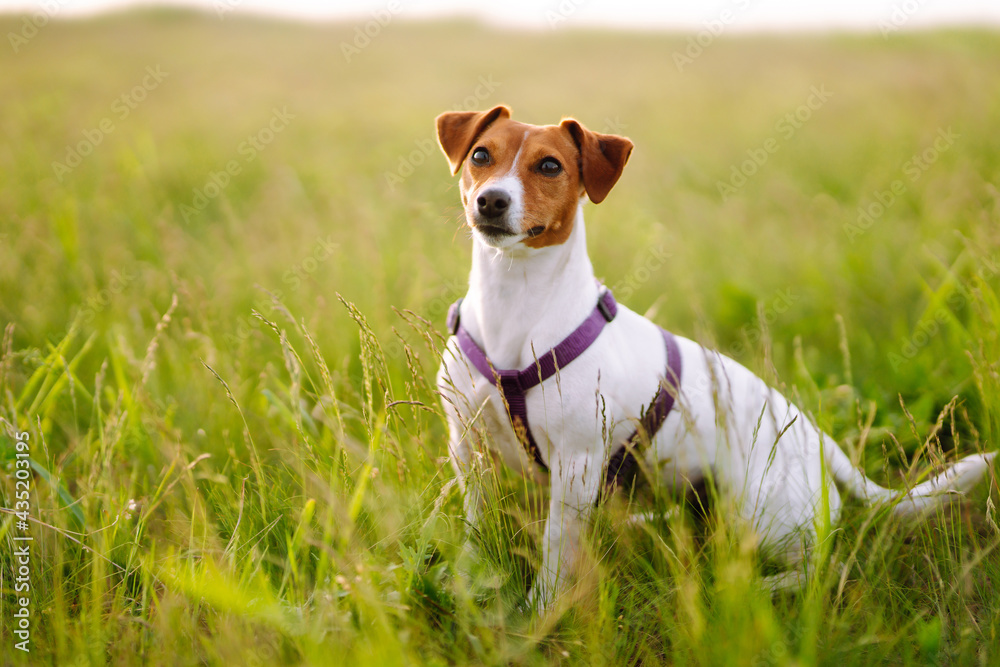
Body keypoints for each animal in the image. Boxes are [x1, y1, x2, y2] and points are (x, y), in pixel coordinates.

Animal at [434, 104, 996, 612]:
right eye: (481, 155)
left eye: (550, 166)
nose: (490, 200)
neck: (515, 302)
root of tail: (821, 442)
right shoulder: (467, 447)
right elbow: (476, 525)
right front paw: (470, 576)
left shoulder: (576, 464)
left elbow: (555, 550)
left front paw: (539, 613)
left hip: (760, 512)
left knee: (823, 569)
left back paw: (748, 588)